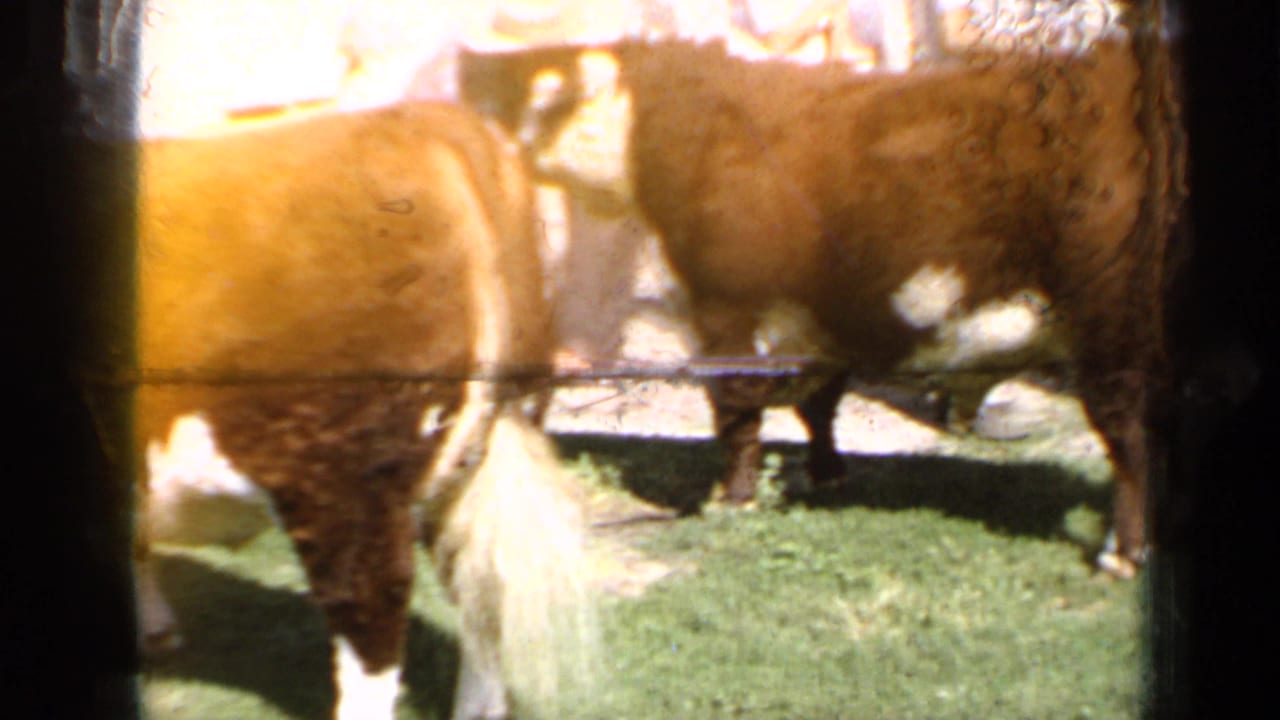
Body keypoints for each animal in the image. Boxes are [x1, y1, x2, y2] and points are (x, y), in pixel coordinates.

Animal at [459, 2, 1185, 580]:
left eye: (536, 80)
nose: (465, 67)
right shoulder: (820, 316)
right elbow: (820, 401)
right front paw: (828, 473)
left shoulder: (727, 309)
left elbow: (737, 410)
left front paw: (733, 499)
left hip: (1110, 329)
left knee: (1129, 439)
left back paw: (1122, 554)